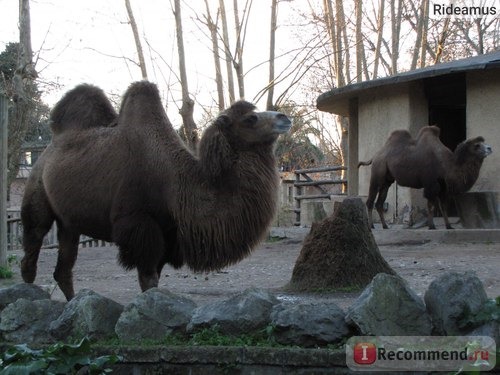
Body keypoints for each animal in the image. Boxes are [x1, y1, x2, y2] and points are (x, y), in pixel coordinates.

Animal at [20, 81, 292, 300]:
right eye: (250, 119)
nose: (284, 117)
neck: (176, 185)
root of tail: (48, 149)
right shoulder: (141, 226)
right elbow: (148, 280)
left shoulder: (168, 235)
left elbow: (155, 280)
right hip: (37, 194)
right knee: (31, 252)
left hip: (69, 223)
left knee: (63, 269)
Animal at [360, 126, 492, 231]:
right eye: (476, 145)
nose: (490, 148)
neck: (445, 164)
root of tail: (375, 156)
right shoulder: (431, 184)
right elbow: (431, 205)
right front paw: (432, 226)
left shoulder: (443, 186)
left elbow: (443, 206)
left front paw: (449, 226)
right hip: (377, 173)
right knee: (370, 201)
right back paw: (371, 226)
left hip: (387, 181)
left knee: (379, 203)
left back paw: (385, 226)